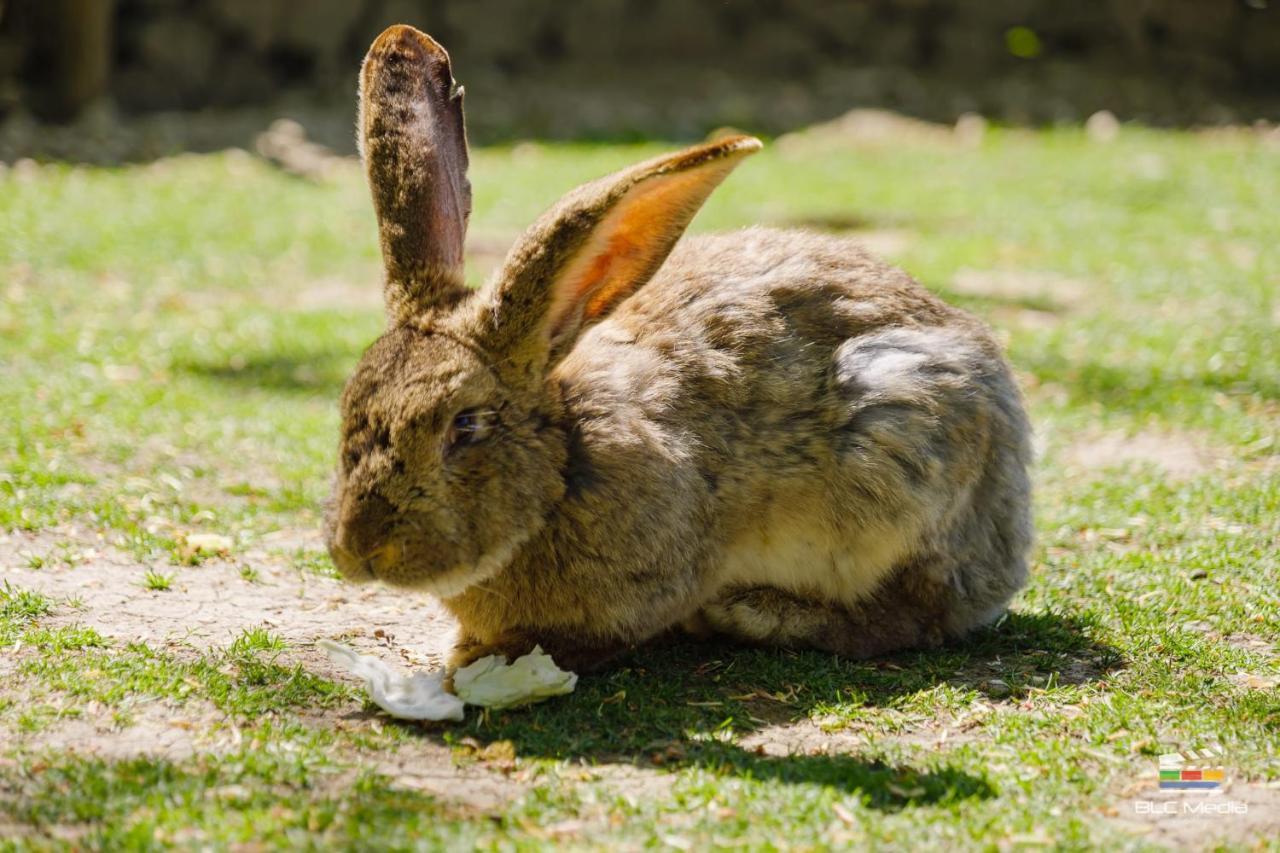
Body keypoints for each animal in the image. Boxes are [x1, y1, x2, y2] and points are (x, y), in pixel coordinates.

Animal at [325, 26, 1034, 676]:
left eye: (464, 426)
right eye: (346, 410)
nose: (359, 550)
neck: (565, 460)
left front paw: (487, 657)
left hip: (903, 434)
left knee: (914, 615)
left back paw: (756, 612)